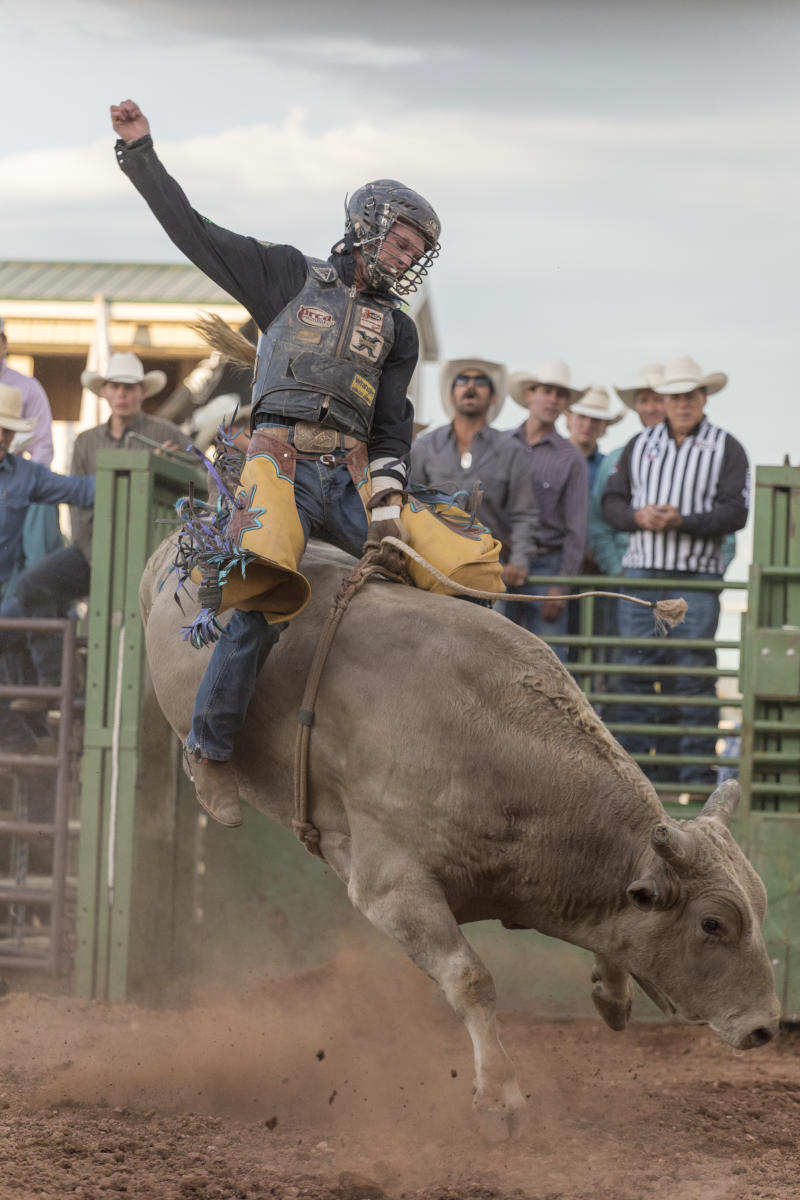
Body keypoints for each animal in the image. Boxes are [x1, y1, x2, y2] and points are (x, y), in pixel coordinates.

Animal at [140, 537, 777, 1142]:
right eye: (713, 923)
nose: (765, 1026)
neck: (490, 742)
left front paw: (612, 992)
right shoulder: (393, 889)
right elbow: (470, 980)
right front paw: (501, 1101)